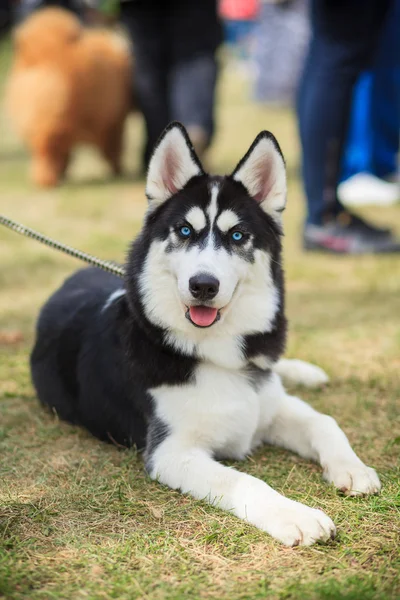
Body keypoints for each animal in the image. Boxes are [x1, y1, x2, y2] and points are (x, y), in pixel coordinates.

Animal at [4, 8, 132, 186]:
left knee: (46, 150)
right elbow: (113, 150)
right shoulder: (114, 122)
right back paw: (47, 179)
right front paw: (117, 170)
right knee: (47, 151)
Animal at [29, 124, 380, 548]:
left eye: (237, 235)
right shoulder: (171, 451)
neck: (216, 356)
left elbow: (324, 422)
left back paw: (306, 372)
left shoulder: (271, 405)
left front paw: (352, 468)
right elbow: (246, 481)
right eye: (184, 230)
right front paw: (296, 516)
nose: (203, 286)